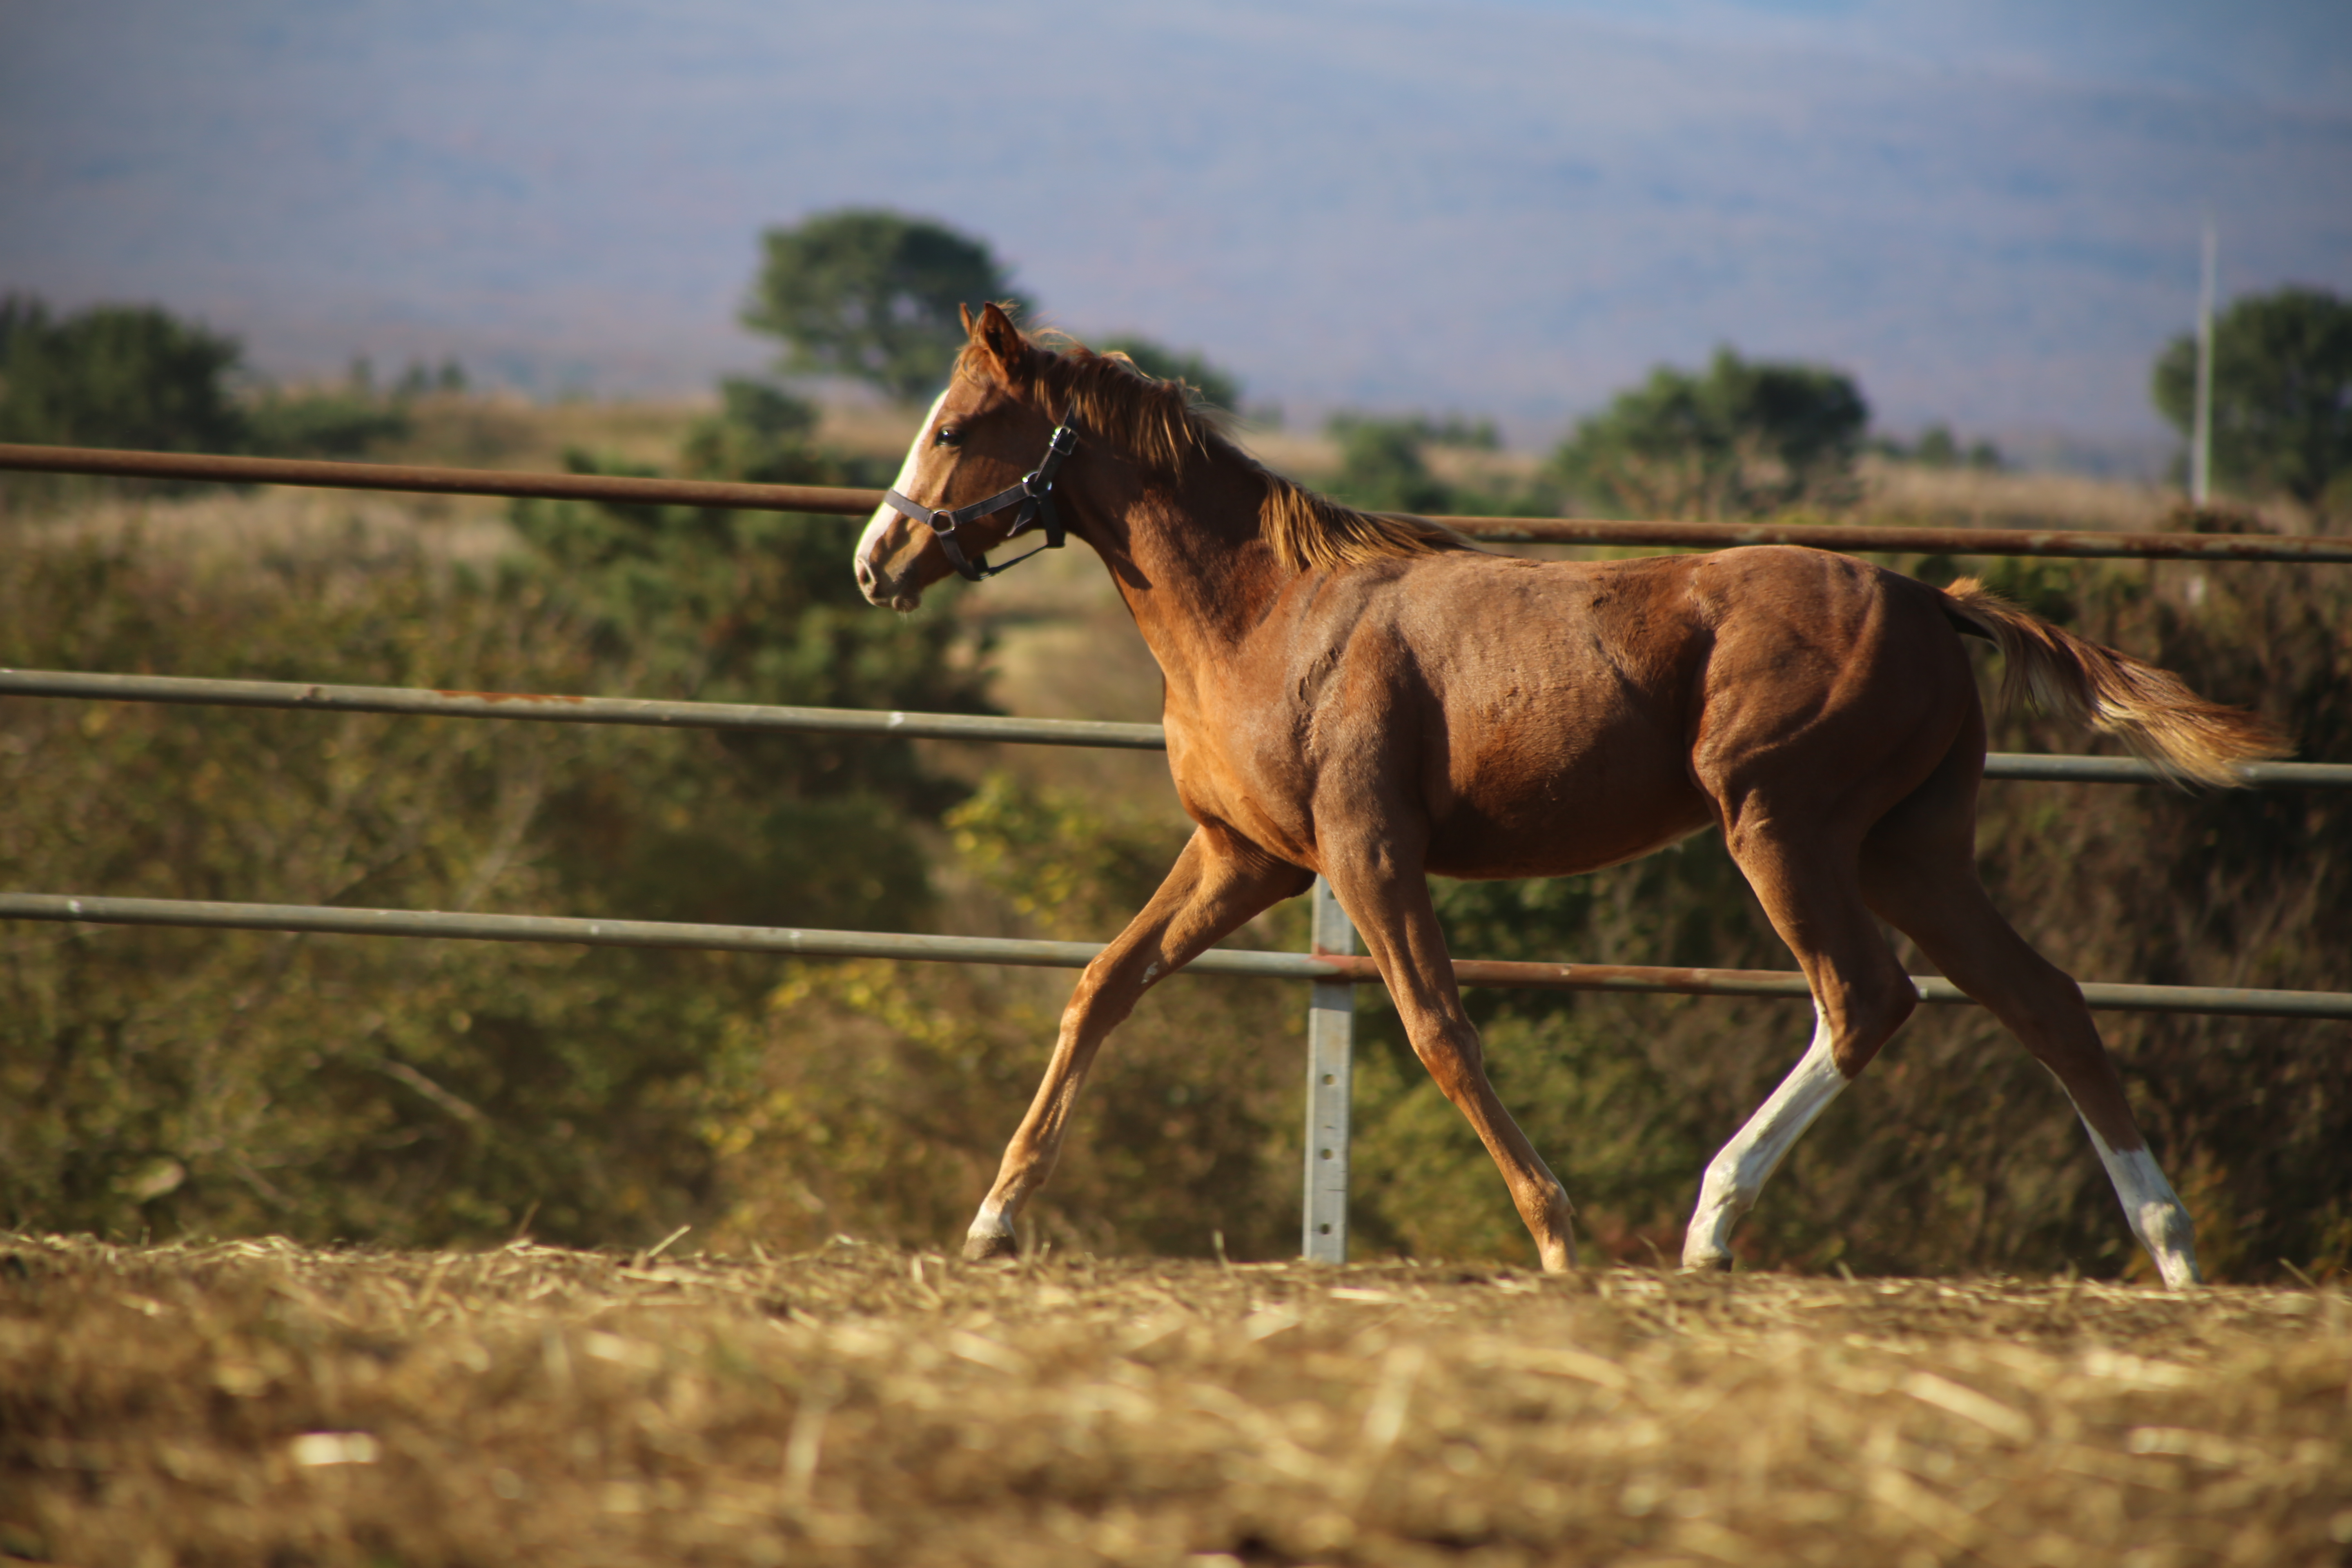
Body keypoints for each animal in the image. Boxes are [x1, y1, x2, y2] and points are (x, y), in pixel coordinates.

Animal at [856, 305, 2286, 1288]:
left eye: (951, 428)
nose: (874, 559)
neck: (1267, 613)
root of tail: (1930, 597)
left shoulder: (1368, 853)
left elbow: (1439, 1028)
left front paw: (1557, 1233)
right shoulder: (1242, 857)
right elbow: (1103, 984)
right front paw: (992, 1220)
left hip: (1783, 828)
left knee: (1866, 997)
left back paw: (1712, 1223)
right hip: (1911, 851)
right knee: (2043, 999)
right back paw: (2173, 1249)